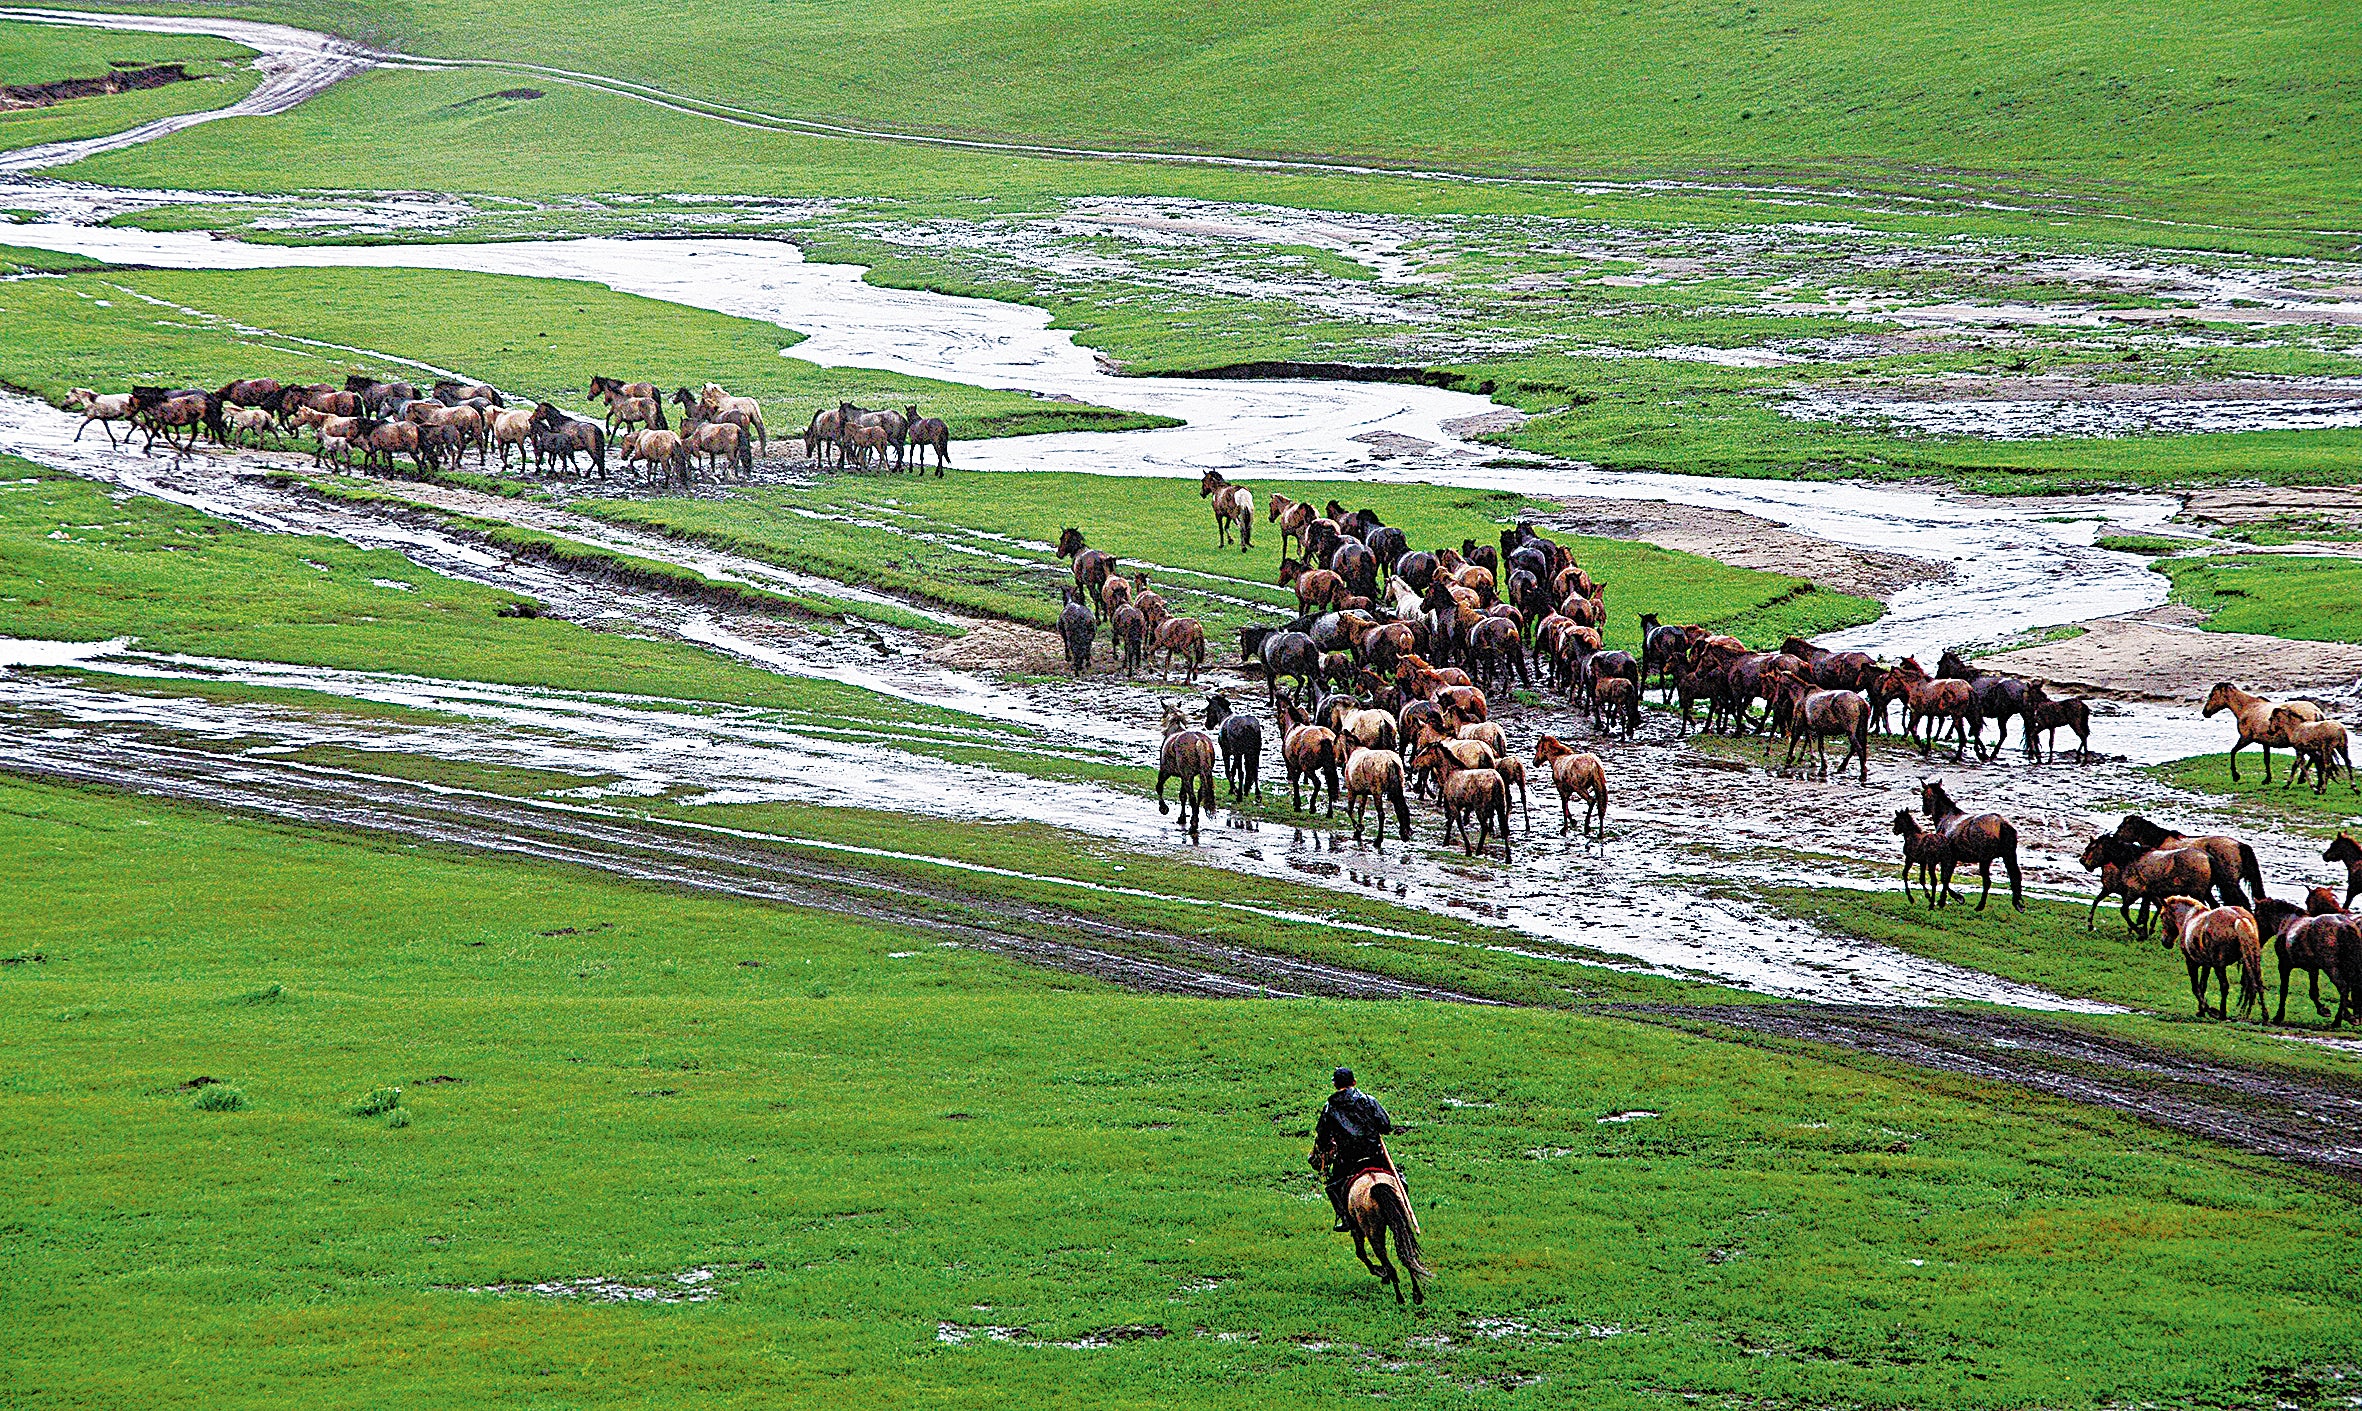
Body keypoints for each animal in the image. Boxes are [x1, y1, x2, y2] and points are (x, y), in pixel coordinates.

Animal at [1157, 699, 1218, 836]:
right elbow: (1182, 795)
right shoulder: (1183, 776)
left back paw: (1193, 826)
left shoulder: (1165, 771)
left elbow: (1159, 787)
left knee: (1193, 798)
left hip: (1187, 776)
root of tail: (1200, 741)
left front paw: (1163, 808)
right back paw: (1194, 820)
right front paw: (1182, 817)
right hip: (1200, 775)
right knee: (1200, 794)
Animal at [1917, 775, 2031, 907]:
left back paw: (1980, 906)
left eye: (1923, 794)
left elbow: (1944, 878)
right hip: (2009, 854)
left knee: (1987, 881)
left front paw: (1955, 898)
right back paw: (2017, 904)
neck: (1945, 817)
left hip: (1986, 859)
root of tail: (2002, 825)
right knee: (2015, 876)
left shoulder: (1948, 857)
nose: (1924, 810)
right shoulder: (1953, 858)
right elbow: (1946, 878)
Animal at [2191, 680, 2324, 779]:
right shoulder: (2265, 742)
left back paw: (2302, 778)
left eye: (2211, 695)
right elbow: (2266, 759)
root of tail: (2316, 712)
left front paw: (2235, 776)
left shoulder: (2246, 738)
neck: (2248, 707)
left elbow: (2233, 751)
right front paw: (2267, 779)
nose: (2205, 712)